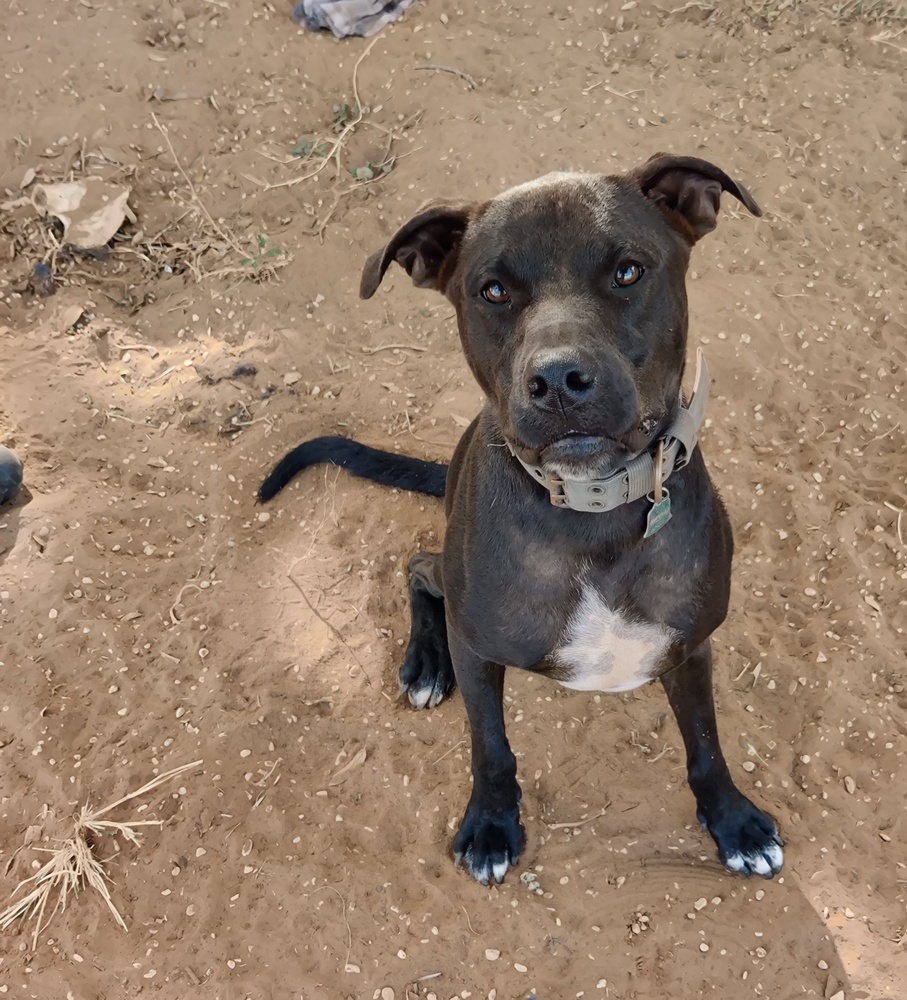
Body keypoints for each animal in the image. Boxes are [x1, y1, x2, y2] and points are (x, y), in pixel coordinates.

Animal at [258, 152, 784, 888]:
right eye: (493, 291)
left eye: (628, 271)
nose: (559, 379)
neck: (590, 513)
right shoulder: (479, 648)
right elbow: (491, 748)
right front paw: (490, 825)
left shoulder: (689, 646)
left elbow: (705, 743)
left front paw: (733, 822)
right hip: (450, 579)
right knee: (417, 567)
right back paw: (425, 664)